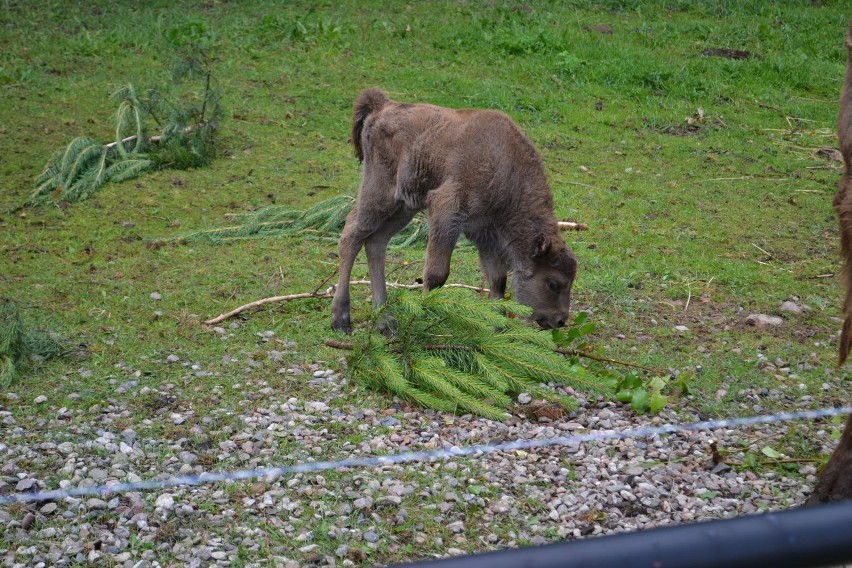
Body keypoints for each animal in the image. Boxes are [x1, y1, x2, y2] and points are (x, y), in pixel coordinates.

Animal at [330, 87, 576, 332]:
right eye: (553, 283)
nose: (560, 320)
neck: (505, 167)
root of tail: (383, 106)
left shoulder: (484, 232)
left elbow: (498, 278)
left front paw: (497, 328)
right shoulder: (446, 211)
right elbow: (437, 274)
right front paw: (426, 316)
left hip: (403, 208)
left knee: (376, 242)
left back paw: (384, 319)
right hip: (379, 195)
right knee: (351, 235)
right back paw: (341, 319)